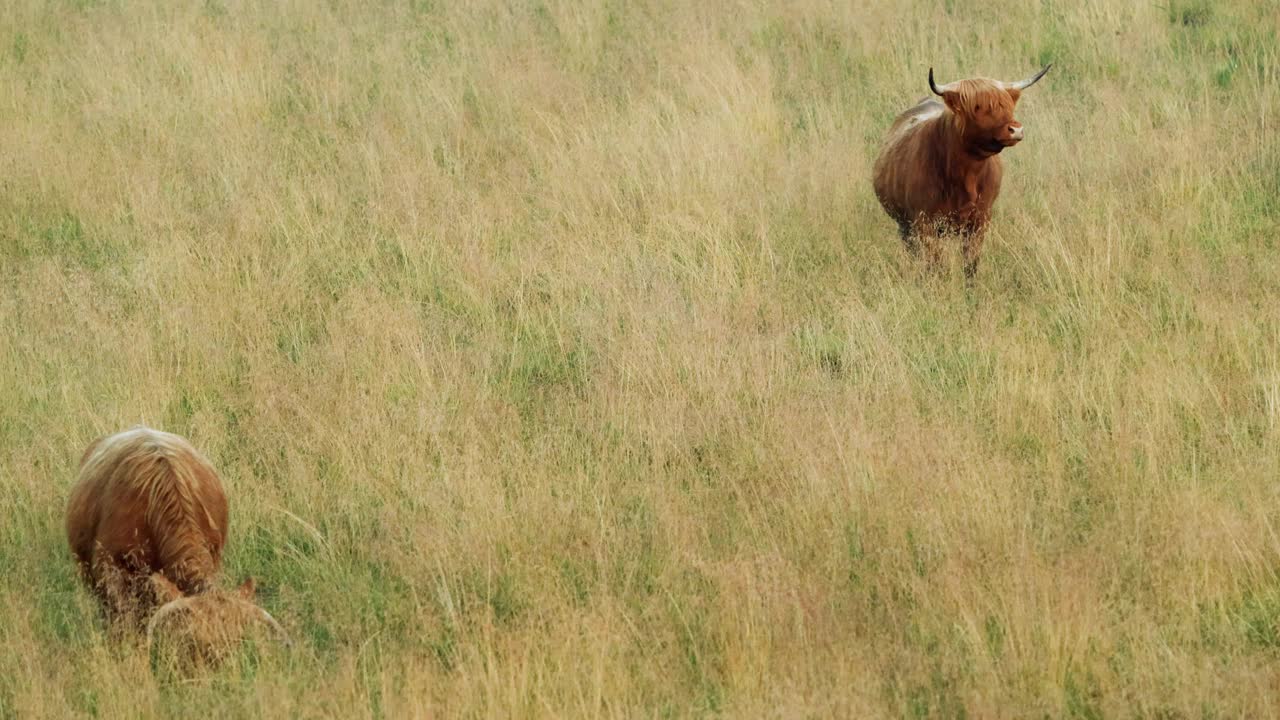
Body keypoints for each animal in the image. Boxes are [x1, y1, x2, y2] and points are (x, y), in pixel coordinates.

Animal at [870, 65, 1049, 278]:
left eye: (1007, 104)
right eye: (977, 106)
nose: (1016, 130)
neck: (965, 176)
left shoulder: (979, 222)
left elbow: (970, 265)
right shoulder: (924, 223)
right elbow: (935, 266)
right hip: (905, 226)